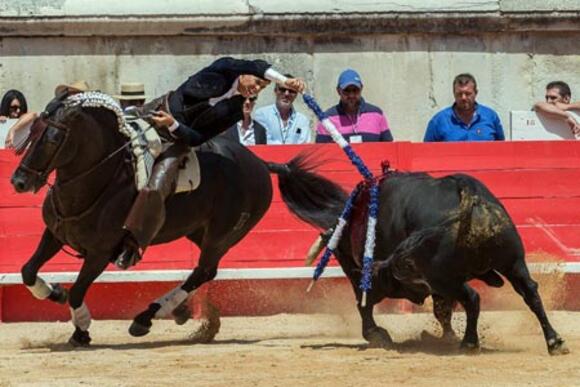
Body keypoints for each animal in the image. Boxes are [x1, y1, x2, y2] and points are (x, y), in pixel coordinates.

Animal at [10, 97, 278, 346]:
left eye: (53, 139)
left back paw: (146, 317)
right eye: (30, 134)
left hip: (221, 236)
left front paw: (81, 331)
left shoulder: (100, 253)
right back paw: (181, 312)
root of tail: (260, 164)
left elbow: (77, 291)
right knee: (206, 272)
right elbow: (28, 271)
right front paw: (56, 293)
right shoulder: (55, 234)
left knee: (202, 271)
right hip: (198, 232)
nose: (19, 181)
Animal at [270, 156, 568, 356]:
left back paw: (469, 342)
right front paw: (446, 336)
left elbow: (364, 304)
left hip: (442, 276)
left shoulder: (374, 277)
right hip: (512, 261)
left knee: (472, 297)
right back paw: (554, 341)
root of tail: (468, 193)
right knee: (530, 292)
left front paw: (376, 335)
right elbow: (442, 310)